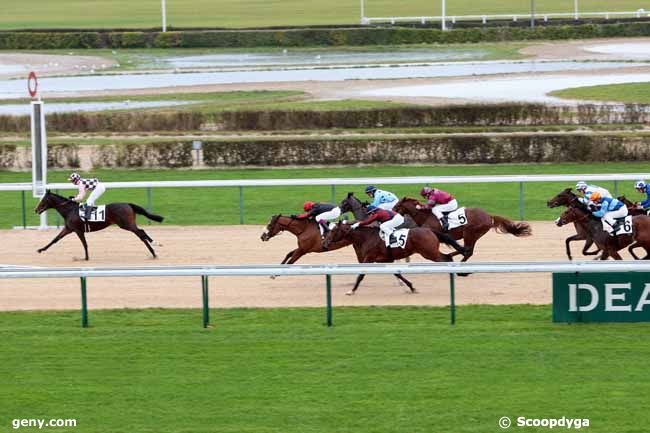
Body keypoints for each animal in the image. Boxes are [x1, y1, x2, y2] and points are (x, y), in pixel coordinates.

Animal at [34, 190, 165, 258]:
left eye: (43, 200)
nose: (36, 210)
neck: (70, 210)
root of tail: (128, 204)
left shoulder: (78, 230)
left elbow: (84, 244)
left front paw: (86, 258)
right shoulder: (68, 228)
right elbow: (55, 239)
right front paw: (41, 249)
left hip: (126, 224)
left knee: (141, 233)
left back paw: (154, 250)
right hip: (128, 224)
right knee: (141, 233)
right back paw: (155, 247)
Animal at [320, 221, 450, 296]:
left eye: (333, 230)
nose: (324, 243)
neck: (366, 237)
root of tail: (429, 230)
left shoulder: (369, 259)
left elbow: (361, 275)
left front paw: (352, 290)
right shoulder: (386, 260)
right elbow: (397, 273)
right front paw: (411, 287)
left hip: (430, 253)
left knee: (446, 258)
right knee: (447, 258)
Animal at [392, 197, 528, 264]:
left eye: (397, 206)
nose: (392, 212)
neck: (425, 215)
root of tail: (489, 216)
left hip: (470, 233)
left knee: (468, 251)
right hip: (473, 235)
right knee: (467, 250)